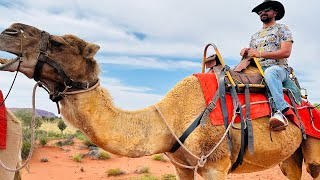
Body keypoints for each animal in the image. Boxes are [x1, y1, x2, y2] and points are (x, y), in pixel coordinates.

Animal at [0, 23, 318, 179]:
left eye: (58, 43)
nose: (9, 31)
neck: (171, 117)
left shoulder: (216, 165)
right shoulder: (182, 167)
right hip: (289, 156)